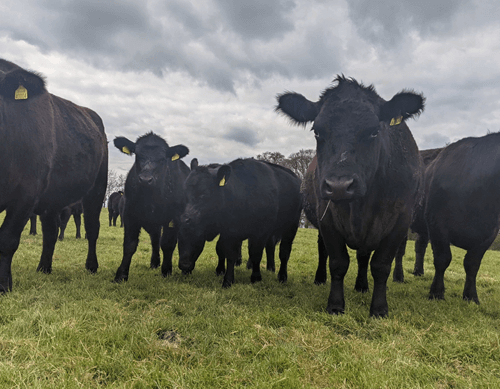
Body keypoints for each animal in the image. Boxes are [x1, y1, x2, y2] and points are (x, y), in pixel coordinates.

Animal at [0, 59, 108, 292]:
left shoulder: (26, 194)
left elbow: (7, 240)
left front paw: (3, 286)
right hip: (52, 197)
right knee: (51, 231)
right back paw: (44, 267)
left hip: (97, 189)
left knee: (92, 227)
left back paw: (91, 266)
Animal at [114, 132, 191, 280]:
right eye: (137, 155)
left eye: (162, 159)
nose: (145, 179)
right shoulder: (130, 214)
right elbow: (129, 245)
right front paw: (121, 275)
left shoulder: (173, 218)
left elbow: (167, 244)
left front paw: (166, 270)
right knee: (155, 239)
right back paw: (154, 262)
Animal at [178, 156, 302, 286]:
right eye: (185, 194)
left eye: (204, 195)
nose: (183, 266)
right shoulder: (230, 231)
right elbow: (224, 250)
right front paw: (222, 273)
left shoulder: (260, 231)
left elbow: (255, 253)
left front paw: (255, 278)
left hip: (291, 226)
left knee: (284, 252)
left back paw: (281, 276)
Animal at [276, 76, 424, 316]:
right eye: (317, 132)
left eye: (374, 131)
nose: (339, 186)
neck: (362, 206)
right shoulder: (327, 218)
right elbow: (338, 262)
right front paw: (336, 304)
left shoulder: (401, 220)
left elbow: (381, 265)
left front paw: (379, 308)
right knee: (323, 251)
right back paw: (320, 278)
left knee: (364, 257)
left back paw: (362, 286)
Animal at [424, 133, 500, 304]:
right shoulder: (437, 224)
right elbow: (442, 259)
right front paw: (436, 293)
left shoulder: (489, 234)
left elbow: (472, 264)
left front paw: (471, 296)